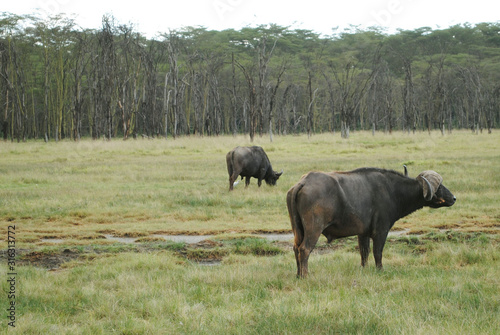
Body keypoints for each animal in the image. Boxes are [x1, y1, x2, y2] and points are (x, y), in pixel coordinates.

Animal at [288, 168, 456, 278]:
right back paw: (305, 276)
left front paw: (364, 269)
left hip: (298, 230)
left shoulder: (362, 233)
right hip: (313, 229)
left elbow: (364, 253)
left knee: (296, 248)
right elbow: (377, 252)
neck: (392, 190)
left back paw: (298, 275)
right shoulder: (381, 231)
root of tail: (302, 183)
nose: (454, 198)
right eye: (439, 187)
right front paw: (380, 270)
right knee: (304, 249)